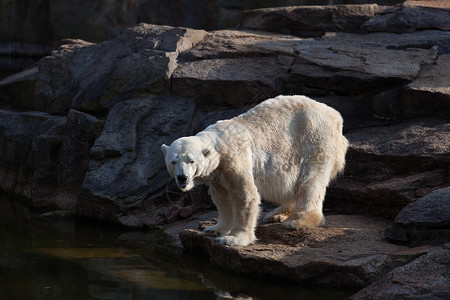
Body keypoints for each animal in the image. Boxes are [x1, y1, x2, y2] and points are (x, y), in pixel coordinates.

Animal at [162, 95, 348, 246]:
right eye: (173, 161)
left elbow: (245, 195)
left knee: (310, 181)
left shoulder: (234, 159)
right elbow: (221, 199)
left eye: (191, 161)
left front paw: (233, 239)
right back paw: (276, 214)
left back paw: (297, 220)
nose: (182, 178)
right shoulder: (216, 175)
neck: (218, 147)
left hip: (314, 140)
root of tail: (335, 116)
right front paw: (214, 228)